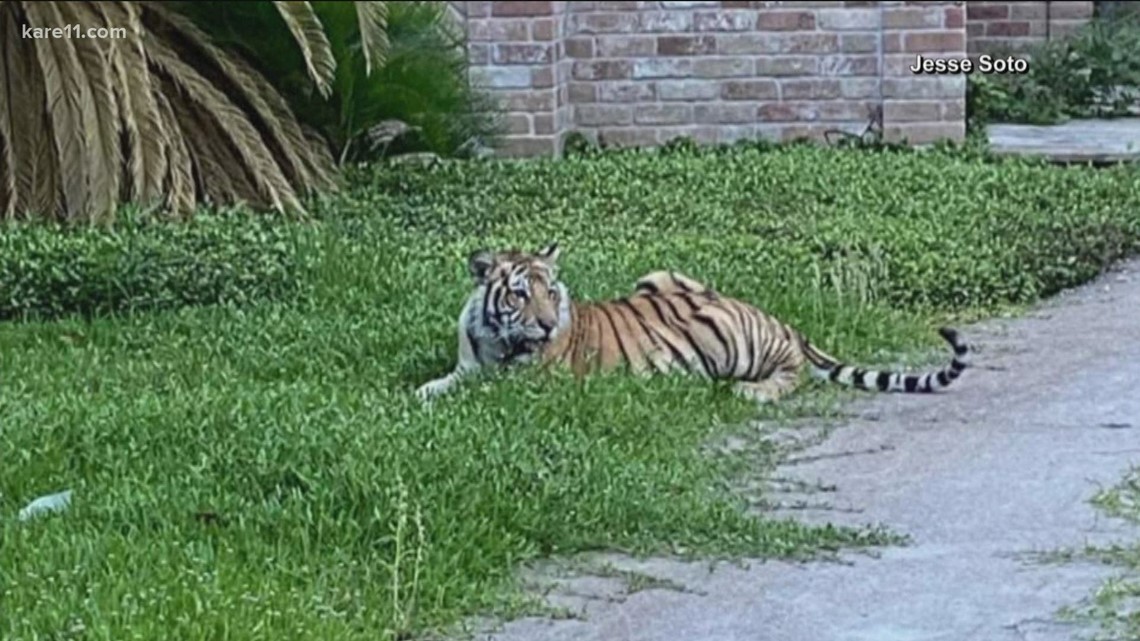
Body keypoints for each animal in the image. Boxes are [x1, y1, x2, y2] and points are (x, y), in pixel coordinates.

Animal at [415, 243, 970, 403]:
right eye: (520, 294)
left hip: (735, 340)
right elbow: (440, 383)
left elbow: (481, 391)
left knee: (792, 374)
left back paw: (751, 392)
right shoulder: (468, 365)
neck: (495, 339)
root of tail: (783, 321)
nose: (548, 325)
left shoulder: (531, 381)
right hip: (659, 276)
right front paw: (418, 393)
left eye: (551, 293)